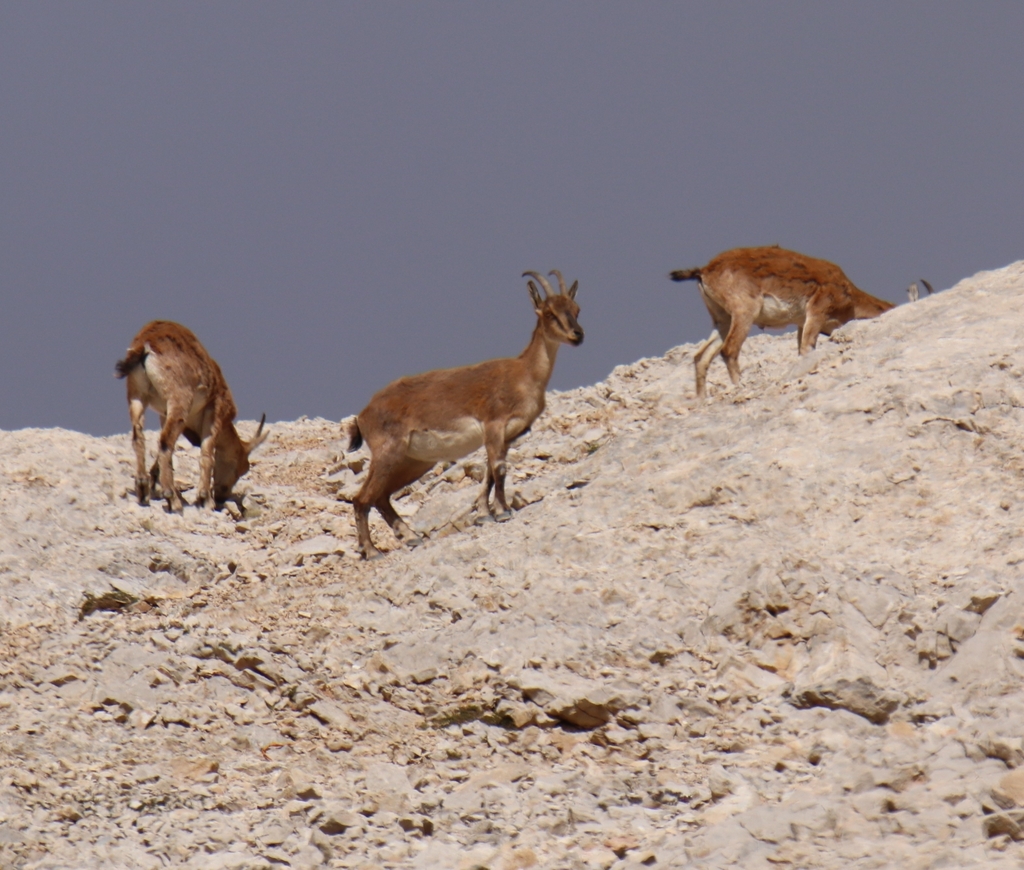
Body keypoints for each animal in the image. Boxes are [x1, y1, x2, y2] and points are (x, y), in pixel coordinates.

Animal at [115, 320, 268, 513]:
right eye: (242, 468)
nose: (222, 496)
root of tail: (146, 345)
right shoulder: (215, 410)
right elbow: (207, 454)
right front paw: (205, 499)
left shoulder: (164, 413)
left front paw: (154, 481)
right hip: (179, 401)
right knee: (165, 442)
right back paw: (172, 499)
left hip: (137, 395)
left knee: (139, 437)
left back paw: (143, 490)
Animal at [347, 270, 583, 559]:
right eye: (549, 313)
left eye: (576, 309)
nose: (577, 335)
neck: (525, 376)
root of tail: (363, 416)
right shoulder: (494, 425)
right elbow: (499, 469)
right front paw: (502, 512)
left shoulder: (507, 436)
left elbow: (491, 473)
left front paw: (485, 514)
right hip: (387, 453)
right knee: (362, 498)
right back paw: (371, 550)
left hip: (414, 462)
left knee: (381, 496)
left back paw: (411, 537)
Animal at [670, 246, 895, 398]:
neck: (850, 295)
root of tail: (704, 271)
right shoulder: (817, 311)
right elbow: (807, 349)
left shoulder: (802, 323)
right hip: (744, 312)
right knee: (729, 349)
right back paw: (740, 387)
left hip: (722, 319)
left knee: (701, 357)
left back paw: (702, 399)